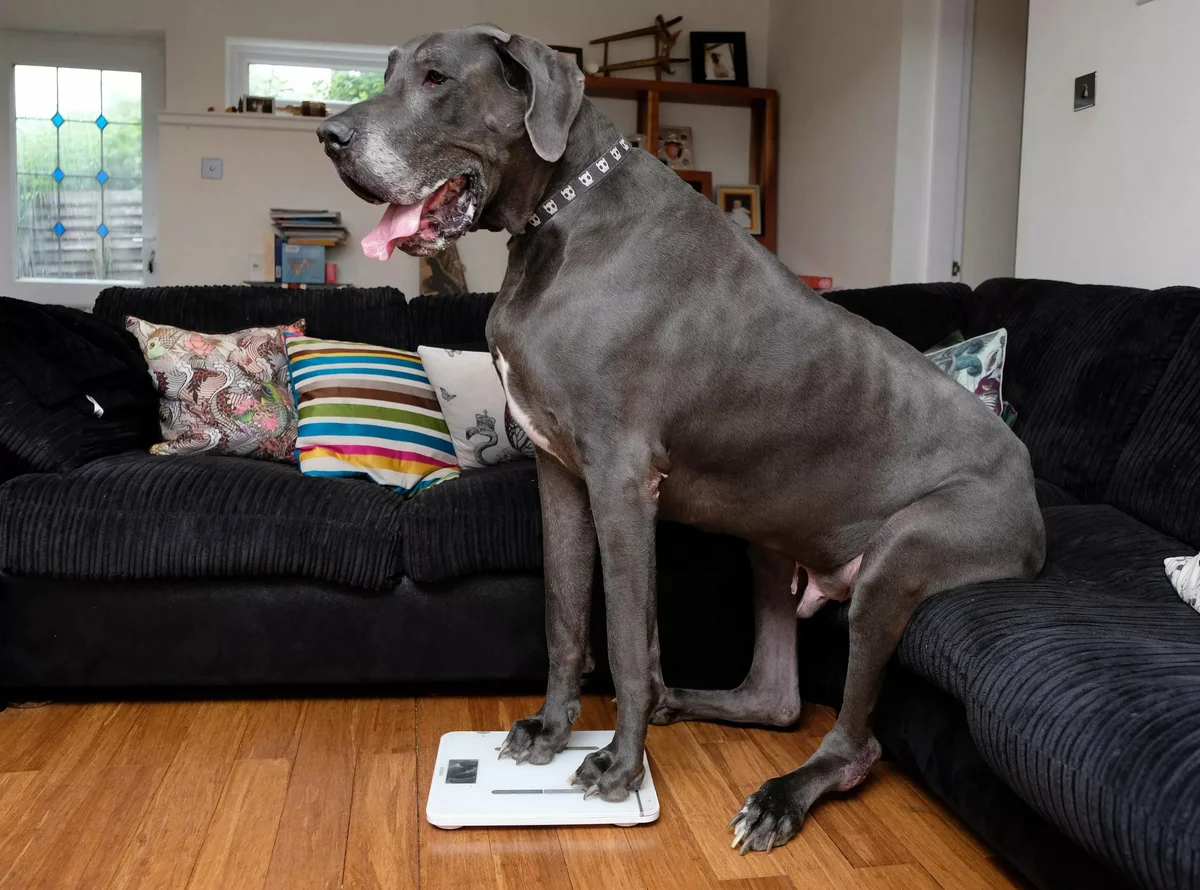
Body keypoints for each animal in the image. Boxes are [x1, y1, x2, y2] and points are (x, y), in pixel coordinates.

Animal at [321, 24, 1051, 854]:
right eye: (385, 73)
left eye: (437, 78)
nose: (329, 136)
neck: (561, 215)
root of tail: (1028, 483)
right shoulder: (559, 474)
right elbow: (566, 614)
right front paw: (552, 728)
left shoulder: (621, 481)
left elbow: (628, 636)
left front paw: (619, 765)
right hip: (769, 537)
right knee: (777, 698)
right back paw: (688, 702)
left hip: (904, 557)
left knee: (856, 742)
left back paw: (780, 797)